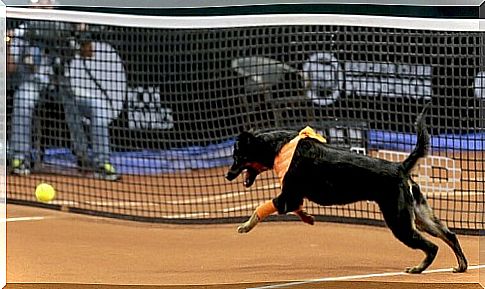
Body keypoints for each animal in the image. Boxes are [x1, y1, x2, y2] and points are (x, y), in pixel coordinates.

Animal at [225, 107, 466, 274]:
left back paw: (419, 268)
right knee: (450, 235)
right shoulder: (292, 198)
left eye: (237, 157)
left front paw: (246, 225)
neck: (280, 146)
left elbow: (261, 208)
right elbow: (297, 208)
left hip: (400, 222)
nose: (227, 175)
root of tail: (400, 167)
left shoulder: (287, 196)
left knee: (432, 247)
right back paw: (461, 266)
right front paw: (308, 217)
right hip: (421, 215)